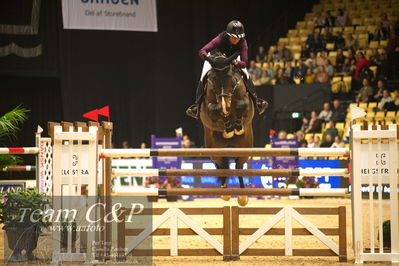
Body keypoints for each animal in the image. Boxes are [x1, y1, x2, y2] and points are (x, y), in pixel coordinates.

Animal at [202, 52, 255, 206]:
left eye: (230, 78)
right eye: (213, 78)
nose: (225, 103)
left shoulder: (246, 101)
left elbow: (241, 105)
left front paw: (236, 127)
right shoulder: (209, 107)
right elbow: (215, 109)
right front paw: (228, 126)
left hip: (245, 148)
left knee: (239, 166)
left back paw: (243, 197)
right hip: (215, 150)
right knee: (223, 165)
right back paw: (225, 192)